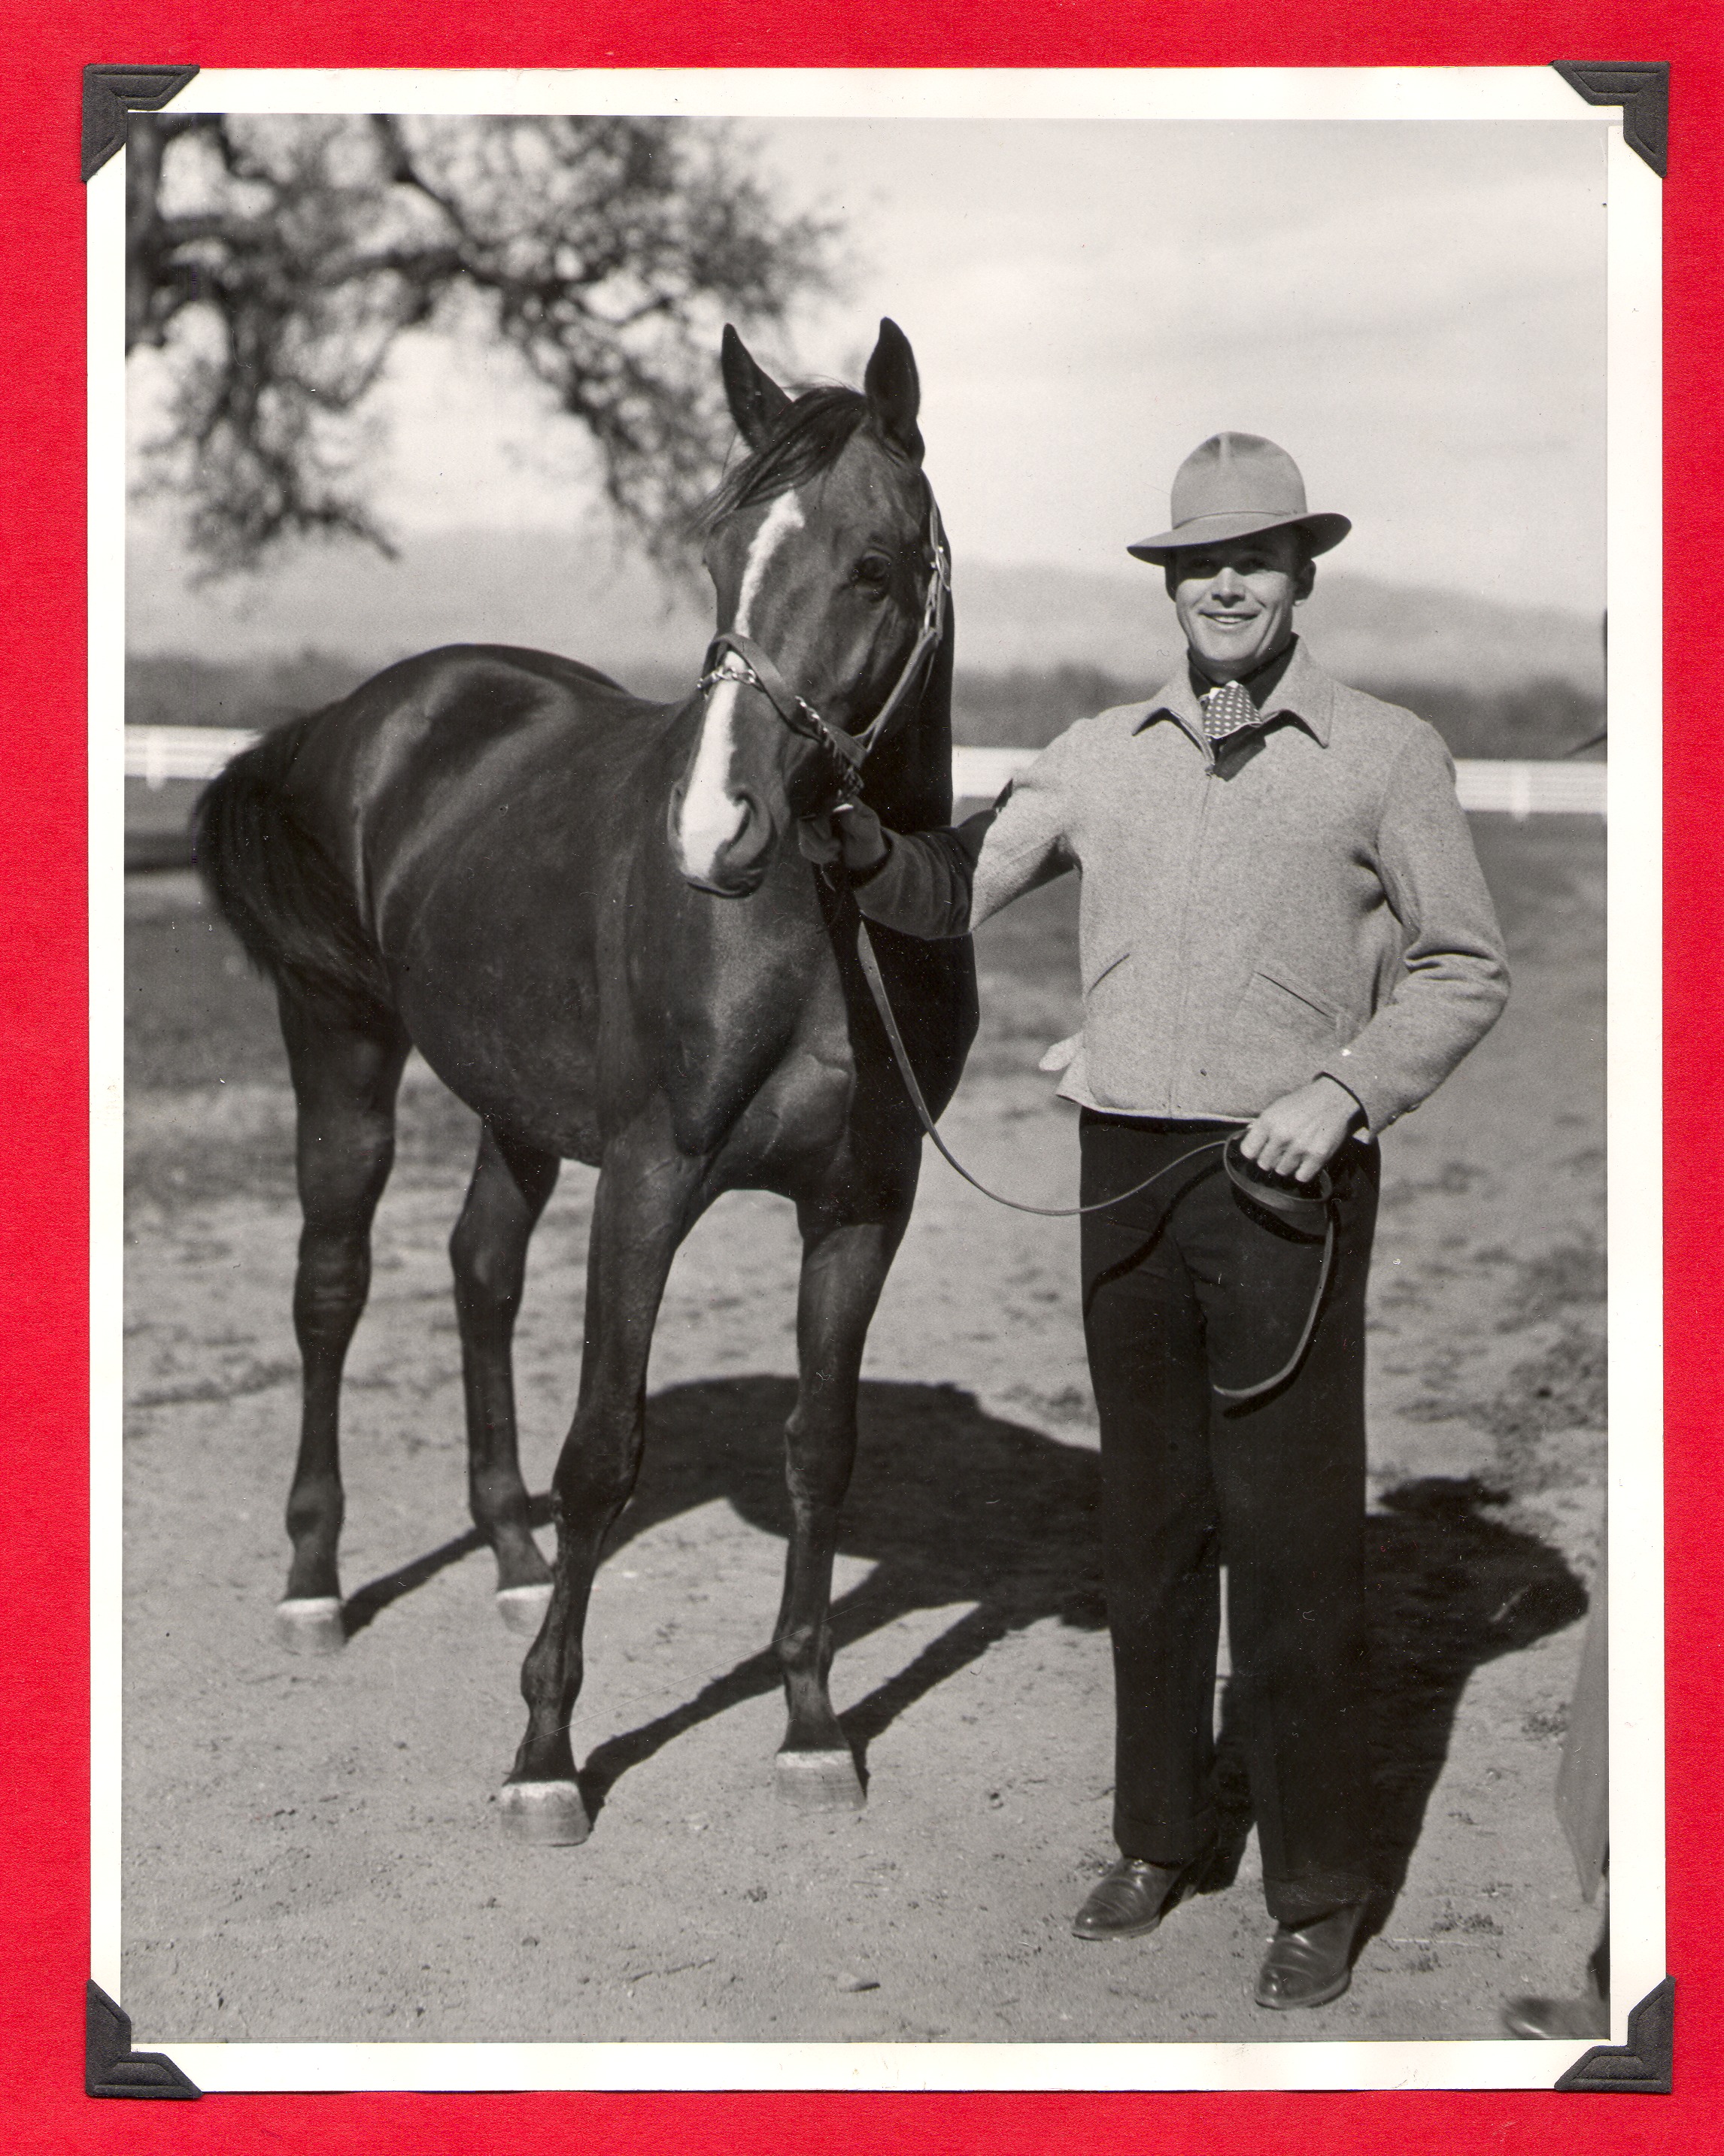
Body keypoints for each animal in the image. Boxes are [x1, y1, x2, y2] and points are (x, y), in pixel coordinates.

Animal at [194, 314, 979, 1836]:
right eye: (716, 547)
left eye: (873, 563)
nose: (714, 826)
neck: (818, 931)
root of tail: (368, 713)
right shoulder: (650, 1179)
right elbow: (605, 1450)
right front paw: (546, 1753)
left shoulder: (864, 1202)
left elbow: (822, 1445)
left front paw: (810, 1723)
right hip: (343, 1051)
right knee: (332, 1289)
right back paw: (315, 1583)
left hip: (515, 1102)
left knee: (480, 1269)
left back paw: (507, 1554)